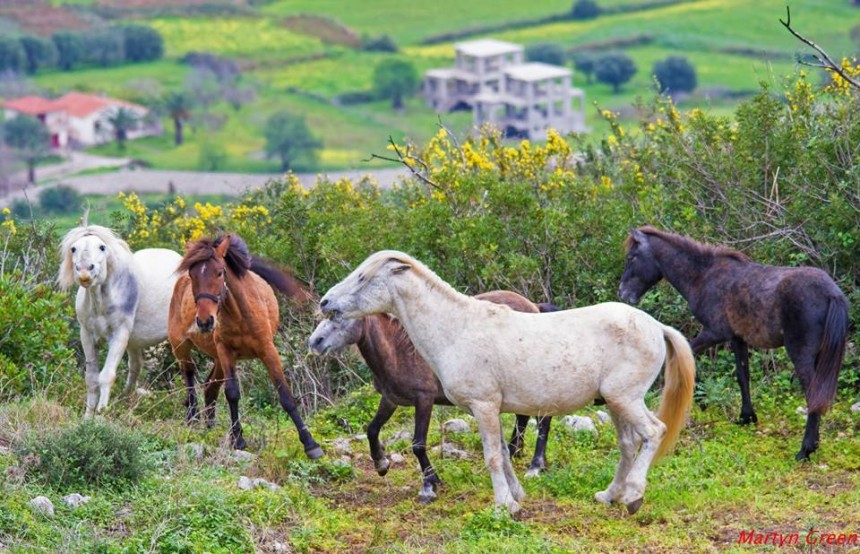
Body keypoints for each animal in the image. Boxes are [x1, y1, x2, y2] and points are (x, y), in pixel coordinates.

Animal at [58, 224, 182, 414]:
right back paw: (126, 400)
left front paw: (101, 414)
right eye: (73, 248)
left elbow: (106, 376)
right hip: (134, 342)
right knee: (136, 366)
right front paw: (87, 416)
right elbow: (91, 379)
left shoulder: (119, 334)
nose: (85, 272)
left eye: (102, 247)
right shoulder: (87, 335)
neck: (100, 301)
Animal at [168, 235, 322, 454]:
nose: (205, 321)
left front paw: (310, 444)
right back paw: (193, 421)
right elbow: (232, 393)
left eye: (220, 272)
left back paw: (210, 427)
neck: (240, 314)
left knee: (209, 386)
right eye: (192, 274)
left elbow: (284, 394)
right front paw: (238, 439)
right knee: (189, 377)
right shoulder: (226, 352)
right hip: (181, 346)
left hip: (215, 358)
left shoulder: (267, 351)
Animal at [310, 288, 556, 500]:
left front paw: (429, 485)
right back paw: (515, 453)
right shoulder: (390, 400)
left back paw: (535, 466)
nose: (314, 341)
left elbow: (418, 444)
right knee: (523, 418)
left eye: (339, 314)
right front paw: (381, 464)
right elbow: (372, 430)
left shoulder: (424, 400)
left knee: (543, 421)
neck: (399, 349)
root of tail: (533, 307)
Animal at [620, 224, 848, 458]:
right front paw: (746, 417)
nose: (623, 293)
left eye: (632, 257)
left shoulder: (715, 333)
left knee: (813, 393)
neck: (704, 275)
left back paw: (805, 449)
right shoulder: (737, 338)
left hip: (800, 354)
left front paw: (702, 399)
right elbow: (742, 376)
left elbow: (689, 354)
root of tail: (832, 293)